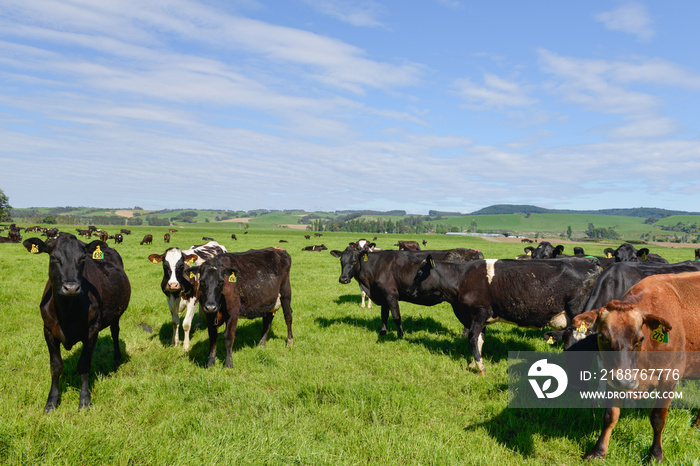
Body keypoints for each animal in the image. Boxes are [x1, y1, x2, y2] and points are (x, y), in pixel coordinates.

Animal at [23, 233, 131, 412]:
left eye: (82, 259)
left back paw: (117, 357)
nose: (71, 288)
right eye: (53, 257)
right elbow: (56, 366)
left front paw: (84, 400)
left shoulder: (92, 330)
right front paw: (51, 402)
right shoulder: (48, 330)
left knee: (115, 333)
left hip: (116, 314)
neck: (66, 311)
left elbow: (84, 365)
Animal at [330, 246, 484, 336]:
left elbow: (396, 316)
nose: (343, 279)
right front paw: (383, 332)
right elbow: (384, 315)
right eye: (341, 261)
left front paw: (400, 335)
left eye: (354, 261)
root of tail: (475, 253)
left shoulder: (391, 294)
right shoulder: (382, 295)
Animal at [572, 274, 700, 462]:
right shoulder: (613, 378)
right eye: (602, 337)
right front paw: (598, 451)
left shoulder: (669, 378)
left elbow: (658, 418)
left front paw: (656, 454)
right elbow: (610, 415)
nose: (626, 381)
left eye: (640, 339)